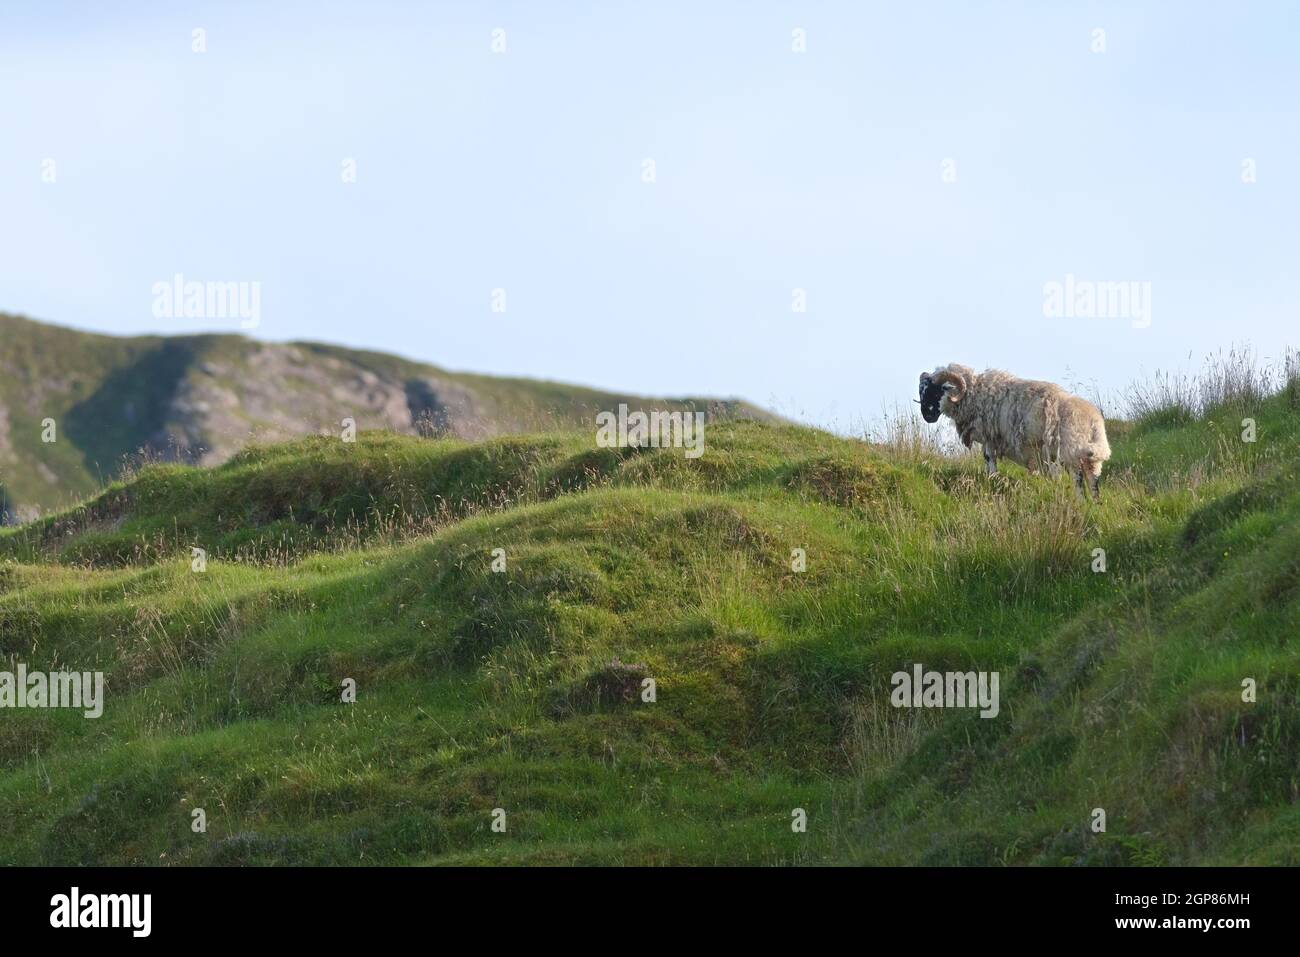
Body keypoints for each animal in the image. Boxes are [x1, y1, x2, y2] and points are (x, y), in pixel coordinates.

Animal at [920, 364, 1112, 504]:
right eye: (922, 392)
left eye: (938, 390)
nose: (927, 416)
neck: (975, 394)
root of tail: (1094, 421)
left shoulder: (990, 436)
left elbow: (989, 459)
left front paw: (992, 479)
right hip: (1087, 455)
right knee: (1093, 481)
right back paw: (1094, 505)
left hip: (1070, 450)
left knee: (1077, 478)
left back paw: (1080, 501)